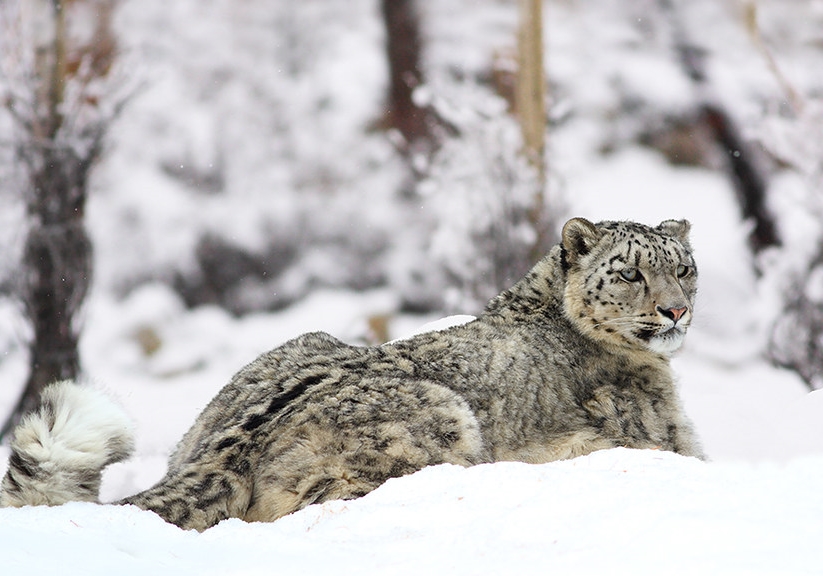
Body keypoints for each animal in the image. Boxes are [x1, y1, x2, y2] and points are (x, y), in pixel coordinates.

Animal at [3, 217, 704, 532]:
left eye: (684, 266)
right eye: (630, 271)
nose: (676, 309)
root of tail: (225, 446)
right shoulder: (668, 439)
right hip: (440, 422)